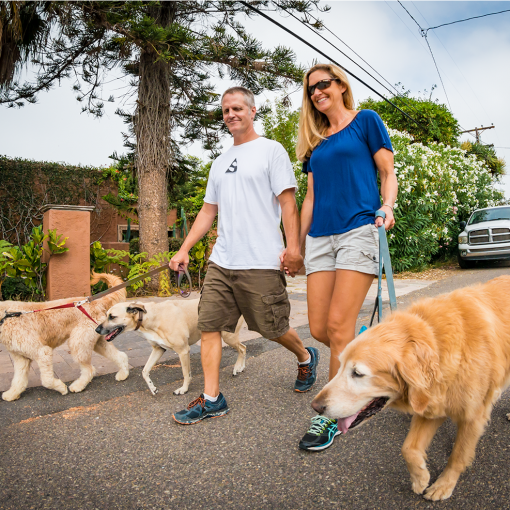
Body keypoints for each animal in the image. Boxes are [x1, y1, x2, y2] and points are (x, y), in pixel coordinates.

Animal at [0, 272, 129, 401]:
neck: (5, 317)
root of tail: (95, 302)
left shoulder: (42, 352)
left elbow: (46, 380)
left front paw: (61, 388)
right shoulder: (20, 358)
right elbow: (18, 379)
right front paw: (12, 394)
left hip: (78, 342)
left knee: (90, 369)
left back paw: (78, 386)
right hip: (97, 341)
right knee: (120, 356)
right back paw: (123, 374)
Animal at [96, 300, 246, 395]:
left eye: (112, 317)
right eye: (106, 315)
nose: (97, 330)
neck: (151, 318)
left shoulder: (183, 351)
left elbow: (186, 373)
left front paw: (184, 389)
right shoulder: (158, 349)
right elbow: (144, 371)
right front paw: (153, 388)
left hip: (228, 337)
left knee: (242, 348)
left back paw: (237, 368)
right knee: (243, 348)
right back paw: (241, 367)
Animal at [312, 275, 510, 501]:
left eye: (358, 373)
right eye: (340, 365)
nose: (315, 406)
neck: (437, 343)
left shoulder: (473, 416)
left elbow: (458, 455)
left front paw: (444, 484)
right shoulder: (432, 404)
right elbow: (408, 447)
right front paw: (420, 478)